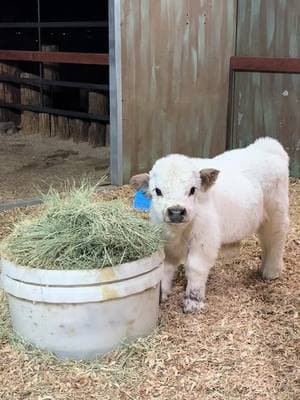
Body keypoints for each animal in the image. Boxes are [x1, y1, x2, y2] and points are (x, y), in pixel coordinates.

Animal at [130, 138, 290, 312]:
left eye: (193, 190)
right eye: (157, 191)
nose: (176, 211)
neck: (178, 232)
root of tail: (266, 146)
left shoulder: (204, 240)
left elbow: (195, 267)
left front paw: (193, 302)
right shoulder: (166, 244)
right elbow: (165, 267)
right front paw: (161, 295)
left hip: (277, 212)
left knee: (276, 238)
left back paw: (271, 271)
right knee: (266, 241)